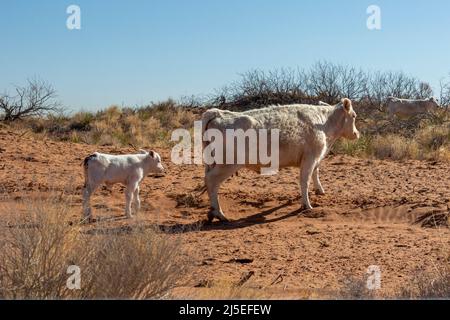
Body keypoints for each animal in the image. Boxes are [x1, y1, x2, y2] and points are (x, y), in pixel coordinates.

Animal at [202, 99, 360, 221]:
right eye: (353, 115)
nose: (357, 134)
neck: (323, 123)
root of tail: (217, 113)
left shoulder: (315, 157)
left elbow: (315, 172)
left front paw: (319, 190)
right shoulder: (310, 158)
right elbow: (305, 180)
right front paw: (307, 205)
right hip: (228, 164)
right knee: (211, 181)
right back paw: (219, 214)